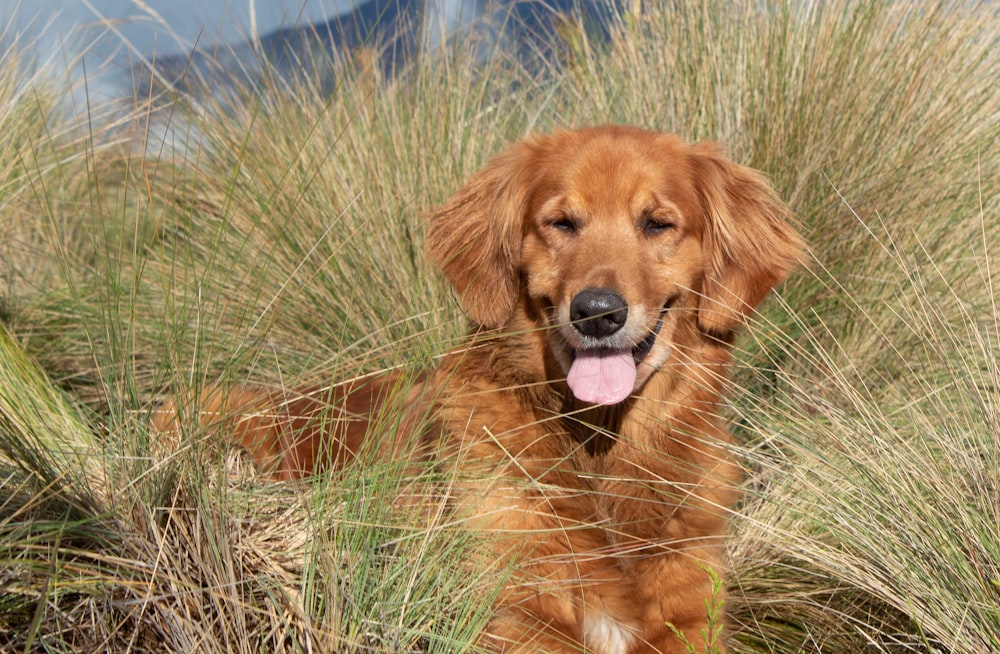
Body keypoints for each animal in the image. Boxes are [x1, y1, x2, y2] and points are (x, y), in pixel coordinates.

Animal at [152, 125, 800, 652]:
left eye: (657, 223)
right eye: (561, 223)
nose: (597, 313)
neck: (598, 454)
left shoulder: (691, 613)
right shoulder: (512, 614)